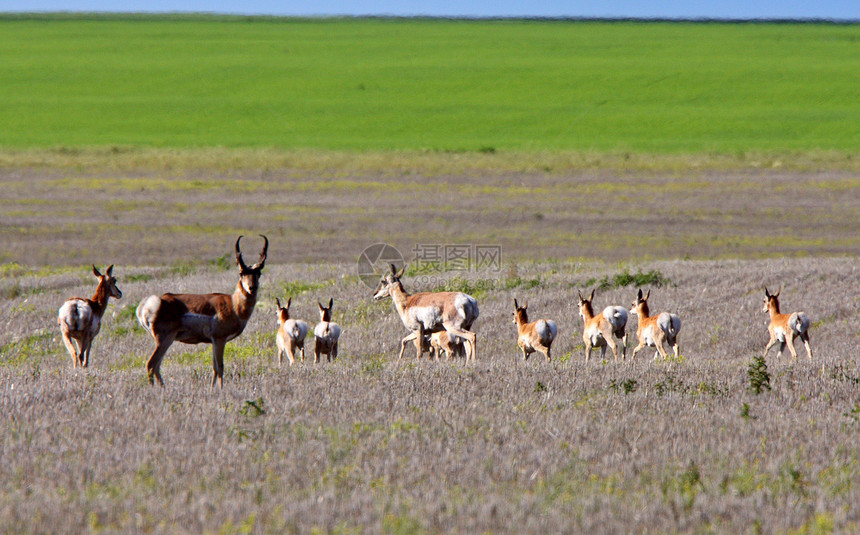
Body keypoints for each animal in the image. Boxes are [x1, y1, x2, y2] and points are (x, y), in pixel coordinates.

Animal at [135, 237, 266, 388]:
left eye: (259, 273)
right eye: (241, 273)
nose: (252, 288)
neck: (233, 304)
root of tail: (150, 303)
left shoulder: (214, 342)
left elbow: (214, 368)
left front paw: (212, 389)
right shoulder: (219, 340)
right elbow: (220, 367)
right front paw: (221, 389)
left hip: (166, 341)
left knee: (156, 366)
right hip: (165, 340)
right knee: (151, 364)